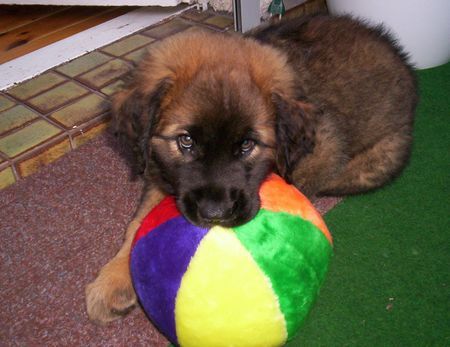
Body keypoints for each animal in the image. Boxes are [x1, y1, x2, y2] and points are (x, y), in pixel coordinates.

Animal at [85, 13, 418, 324]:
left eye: (247, 145)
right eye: (186, 141)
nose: (215, 213)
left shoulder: (323, 149)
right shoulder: (158, 169)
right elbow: (137, 223)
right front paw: (112, 282)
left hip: (376, 164)